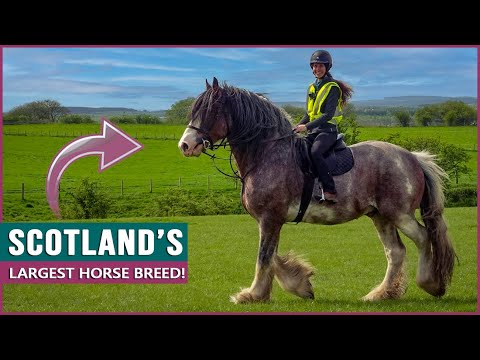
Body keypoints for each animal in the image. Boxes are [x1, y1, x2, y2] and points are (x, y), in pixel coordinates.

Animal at [178, 76, 456, 304]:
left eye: (212, 110)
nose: (185, 145)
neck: (267, 153)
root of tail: (413, 157)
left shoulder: (270, 218)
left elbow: (264, 257)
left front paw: (252, 294)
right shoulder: (271, 220)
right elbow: (272, 256)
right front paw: (299, 286)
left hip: (399, 213)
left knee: (423, 237)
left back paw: (430, 284)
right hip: (380, 215)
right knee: (395, 252)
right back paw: (380, 294)